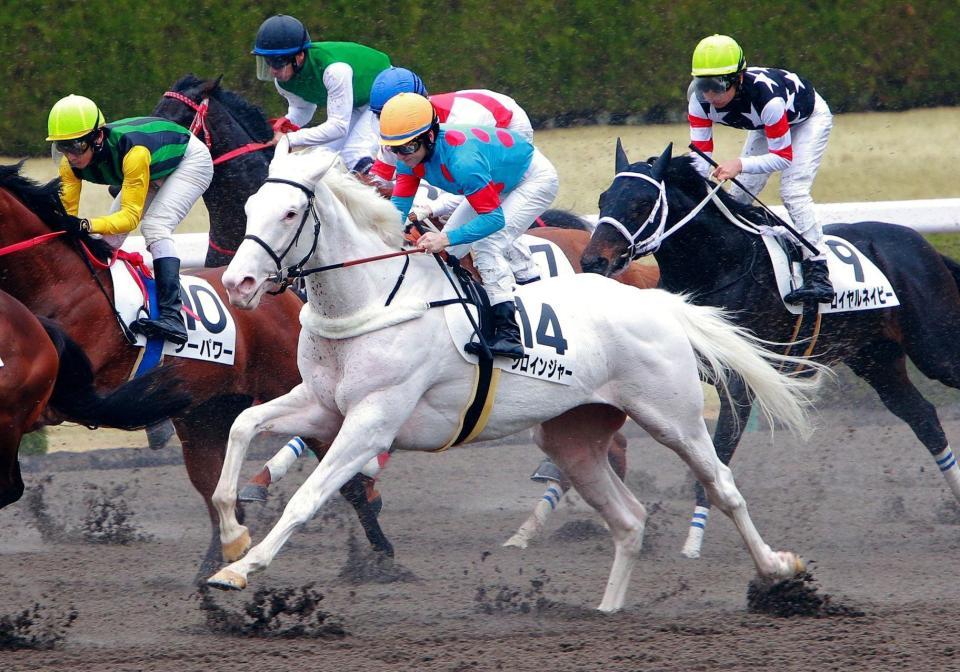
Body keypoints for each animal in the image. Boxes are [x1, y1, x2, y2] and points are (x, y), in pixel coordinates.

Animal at [0, 165, 390, 576]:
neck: (59, 283)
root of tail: (283, 294)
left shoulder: (76, 396)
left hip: (295, 389)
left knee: (347, 478)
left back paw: (381, 559)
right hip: (204, 417)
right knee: (218, 492)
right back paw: (217, 562)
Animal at [210, 143, 824, 616]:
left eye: (291, 212)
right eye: (251, 205)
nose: (239, 283)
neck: (372, 297)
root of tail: (659, 301)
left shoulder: (373, 420)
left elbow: (307, 497)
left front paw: (242, 568)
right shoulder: (322, 403)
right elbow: (242, 428)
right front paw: (234, 537)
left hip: (672, 417)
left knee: (722, 486)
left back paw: (778, 569)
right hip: (571, 436)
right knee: (628, 518)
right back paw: (607, 610)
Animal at [580, 140, 960, 556]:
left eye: (641, 203)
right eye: (603, 199)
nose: (593, 260)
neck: (719, 267)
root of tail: (925, 247)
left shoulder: (737, 383)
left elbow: (719, 454)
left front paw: (694, 540)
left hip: (935, 348)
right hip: (877, 359)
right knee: (923, 417)